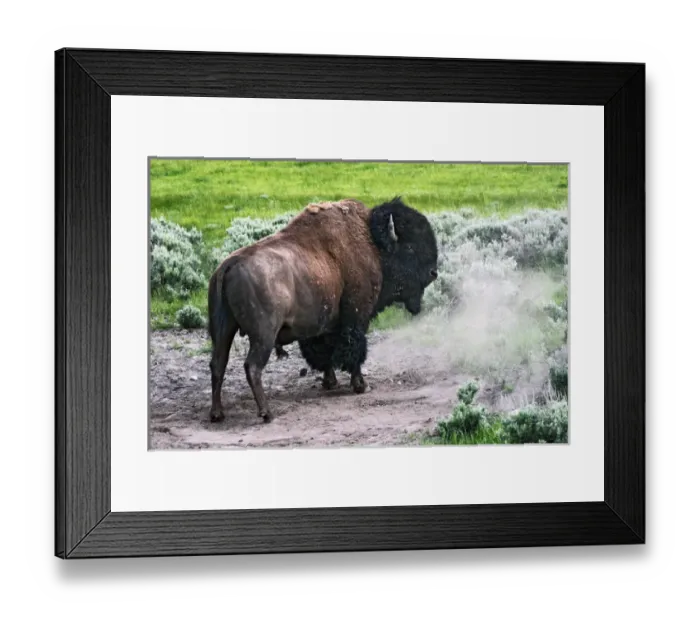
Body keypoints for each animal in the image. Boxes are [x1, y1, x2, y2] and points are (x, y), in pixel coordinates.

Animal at [207, 196, 438, 423]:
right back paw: (266, 413)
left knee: (218, 364)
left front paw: (330, 382)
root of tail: (228, 265)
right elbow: (354, 349)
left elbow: (325, 352)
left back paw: (217, 413)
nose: (433, 273)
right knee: (252, 366)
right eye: (410, 248)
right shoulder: (356, 317)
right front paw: (361, 385)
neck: (372, 242)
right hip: (263, 335)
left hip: (223, 330)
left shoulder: (323, 325)